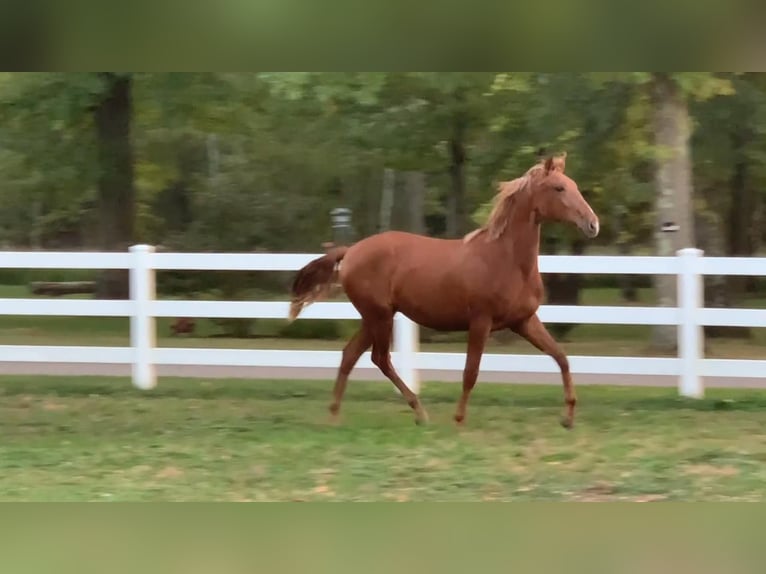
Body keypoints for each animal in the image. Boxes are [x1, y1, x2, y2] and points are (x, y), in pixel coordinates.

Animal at [288, 155, 600, 430]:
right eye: (558, 188)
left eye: (573, 185)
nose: (593, 224)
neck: (506, 260)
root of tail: (351, 251)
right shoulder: (481, 321)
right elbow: (470, 372)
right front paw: (459, 421)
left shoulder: (524, 321)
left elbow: (561, 357)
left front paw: (568, 418)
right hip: (379, 316)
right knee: (380, 358)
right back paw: (419, 412)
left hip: (374, 317)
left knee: (351, 355)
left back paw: (336, 416)